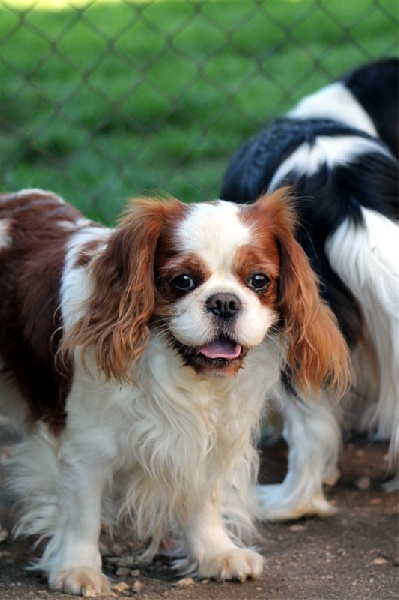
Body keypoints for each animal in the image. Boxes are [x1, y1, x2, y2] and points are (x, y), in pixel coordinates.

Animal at [0, 189, 350, 596]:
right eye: (183, 280)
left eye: (259, 280)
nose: (224, 301)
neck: (179, 368)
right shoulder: (85, 445)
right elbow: (81, 511)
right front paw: (77, 569)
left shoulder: (211, 440)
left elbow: (204, 500)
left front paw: (214, 552)